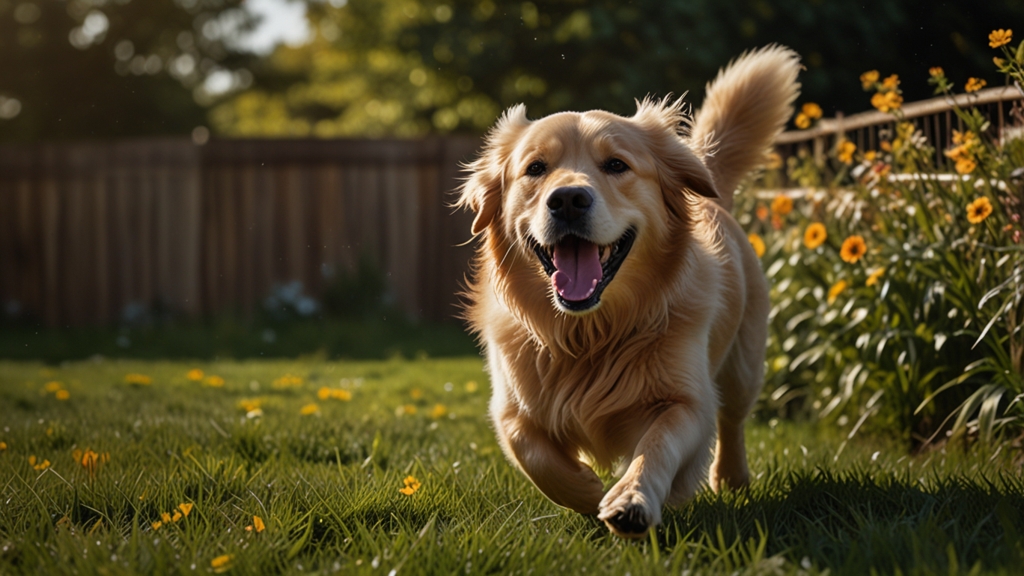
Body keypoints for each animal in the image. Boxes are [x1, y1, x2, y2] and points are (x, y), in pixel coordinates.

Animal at [456, 45, 798, 537]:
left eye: (616, 165)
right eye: (535, 169)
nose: (568, 199)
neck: (590, 334)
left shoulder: (685, 400)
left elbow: (657, 444)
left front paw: (630, 499)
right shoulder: (510, 405)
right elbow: (531, 451)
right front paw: (586, 489)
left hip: (744, 362)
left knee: (732, 419)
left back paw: (731, 479)